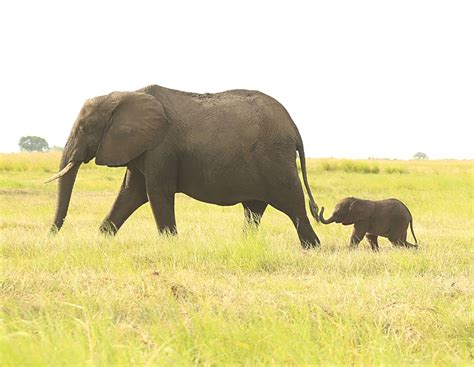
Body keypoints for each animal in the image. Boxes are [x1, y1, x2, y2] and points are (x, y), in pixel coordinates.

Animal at [47, 85, 322, 249]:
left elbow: (156, 193)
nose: (50, 236)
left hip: (275, 160)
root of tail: (293, 127)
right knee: (254, 209)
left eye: (83, 129)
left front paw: (170, 245)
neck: (125, 95)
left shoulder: (161, 148)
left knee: (293, 204)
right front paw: (101, 240)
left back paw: (312, 248)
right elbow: (130, 194)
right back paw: (247, 245)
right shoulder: (143, 147)